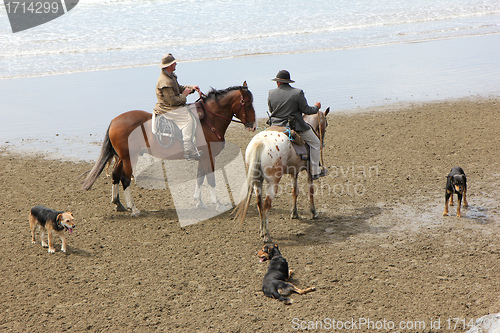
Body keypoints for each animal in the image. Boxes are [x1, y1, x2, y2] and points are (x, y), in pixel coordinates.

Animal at [83, 82, 256, 215]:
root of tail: (115, 120)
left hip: (122, 158)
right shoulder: (209, 157)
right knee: (125, 179)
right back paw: (134, 208)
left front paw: (198, 202)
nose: (253, 126)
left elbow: (200, 178)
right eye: (248, 104)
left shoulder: (203, 157)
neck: (208, 120)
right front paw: (218, 204)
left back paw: (118, 203)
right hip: (129, 158)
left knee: (115, 175)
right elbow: (211, 179)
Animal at [233, 109, 328, 241]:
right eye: (326, 124)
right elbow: (311, 192)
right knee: (266, 204)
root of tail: (260, 143)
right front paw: (314, 212)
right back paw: (267, 234)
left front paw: (294, 213)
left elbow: (295, 191)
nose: (322, 143)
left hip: (257, 180)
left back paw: (262, 230)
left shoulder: (294, 172)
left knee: (259, 202)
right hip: (273, 182)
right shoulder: (309, 171)